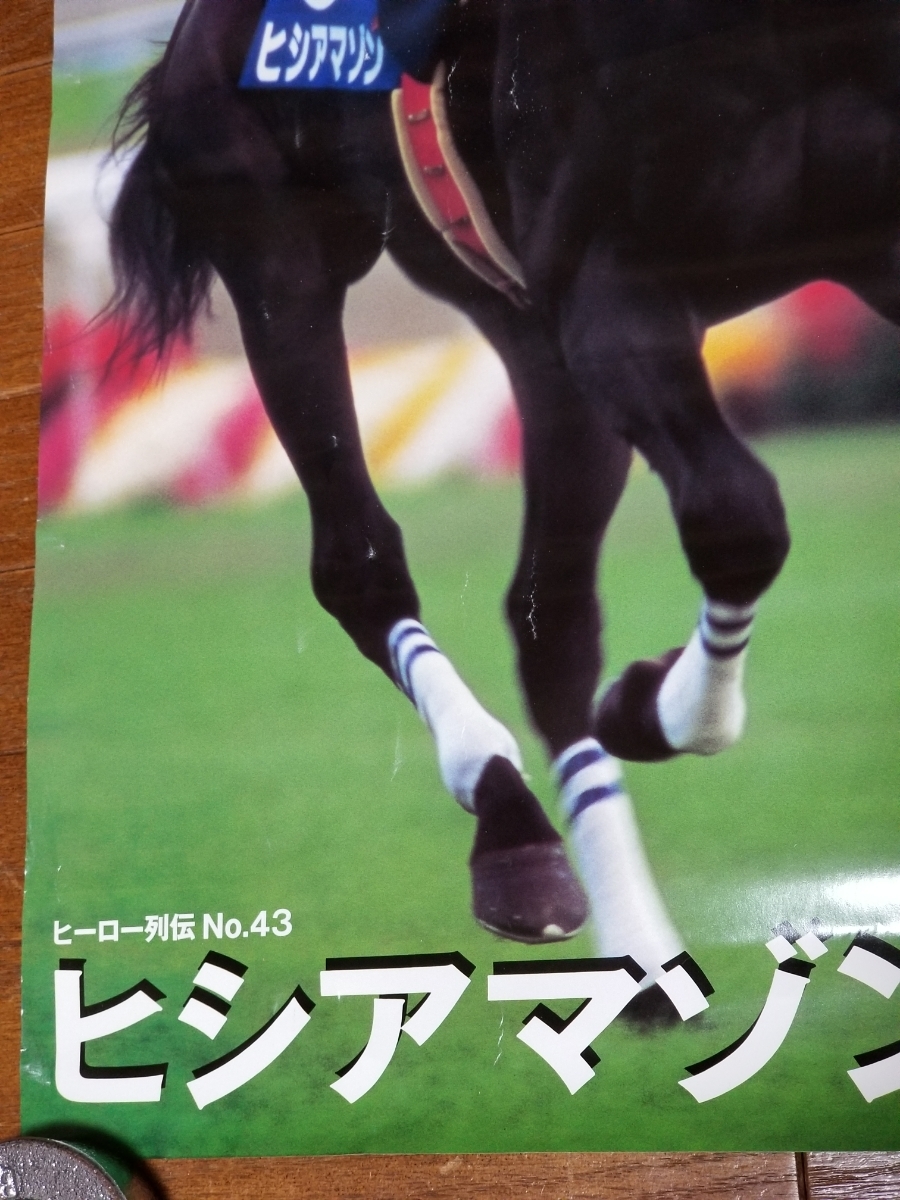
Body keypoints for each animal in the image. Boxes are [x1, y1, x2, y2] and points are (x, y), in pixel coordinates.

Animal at [105, 0, 898, 982]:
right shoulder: (611, 292)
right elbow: (738, 515)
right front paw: (657, 707)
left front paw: (644, 703)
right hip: (279, 251)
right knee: (358, 560)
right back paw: (508, 814)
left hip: (530, 336)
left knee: (547, 620)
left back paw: (630, 951)